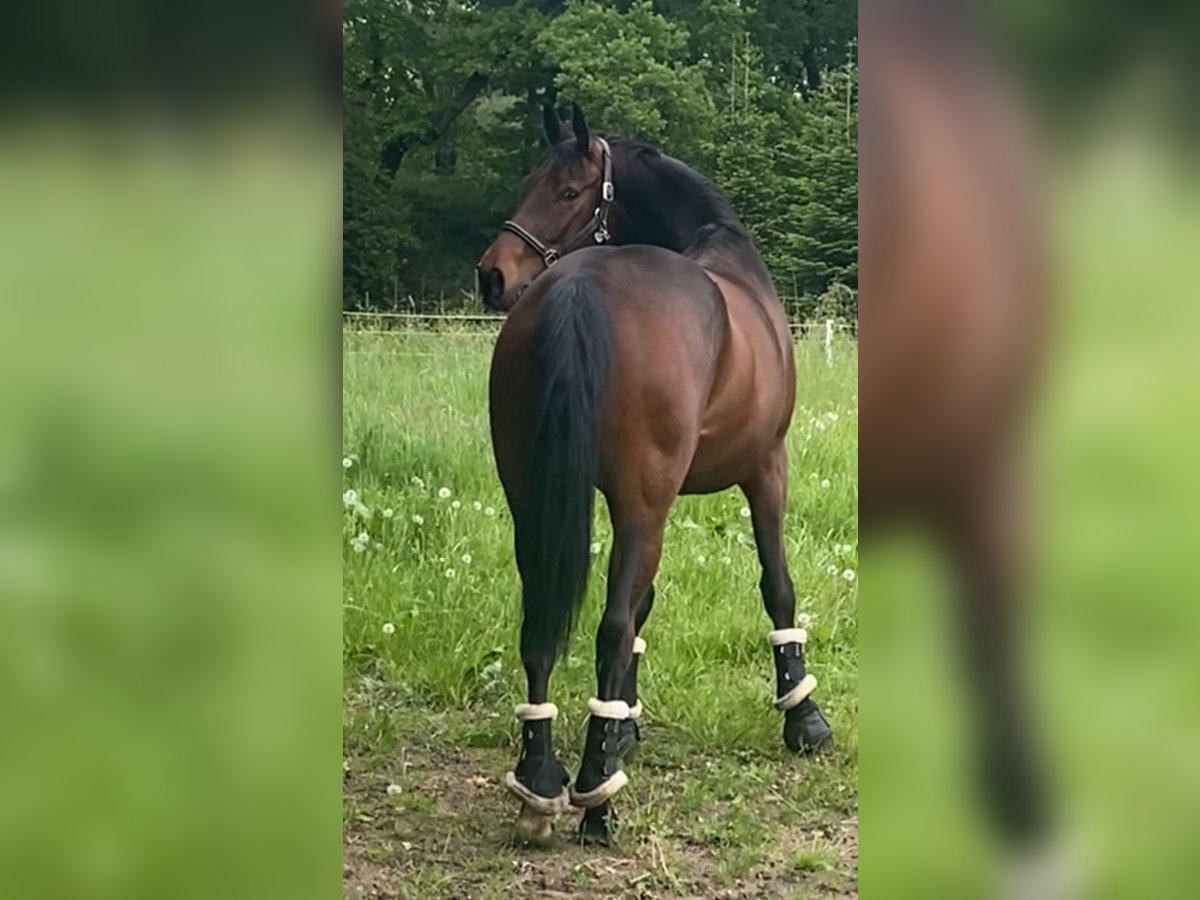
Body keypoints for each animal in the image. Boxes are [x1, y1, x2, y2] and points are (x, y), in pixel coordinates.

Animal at [477, 105, 835, 844]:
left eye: (566, 191)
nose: (491, 275)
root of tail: (578, 284)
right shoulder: (766, 467)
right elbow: (777, 586)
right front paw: (803, 716)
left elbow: (644, 603)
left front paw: (623, 727)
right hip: (646, 503)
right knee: (609, 626)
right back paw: (595, 796)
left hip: (536, 500)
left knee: (541, 623)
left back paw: (539, 784)